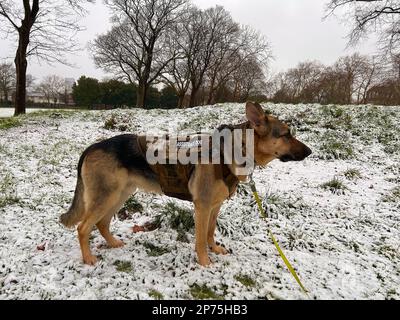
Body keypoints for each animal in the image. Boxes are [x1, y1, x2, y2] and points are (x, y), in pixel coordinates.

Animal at [61, 102, 312, 264]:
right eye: (287, 134)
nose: (310, 152)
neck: (233, 151)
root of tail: (92, 147)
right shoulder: (202, 207)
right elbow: (200, 239)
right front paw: (205, 263)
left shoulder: (214, 206)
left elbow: (210, 232)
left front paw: (215, 249)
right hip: (107, 197)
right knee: (84, 227)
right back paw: (88, 259)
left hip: (119, 195)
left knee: (102, 224)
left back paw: (113, 244)